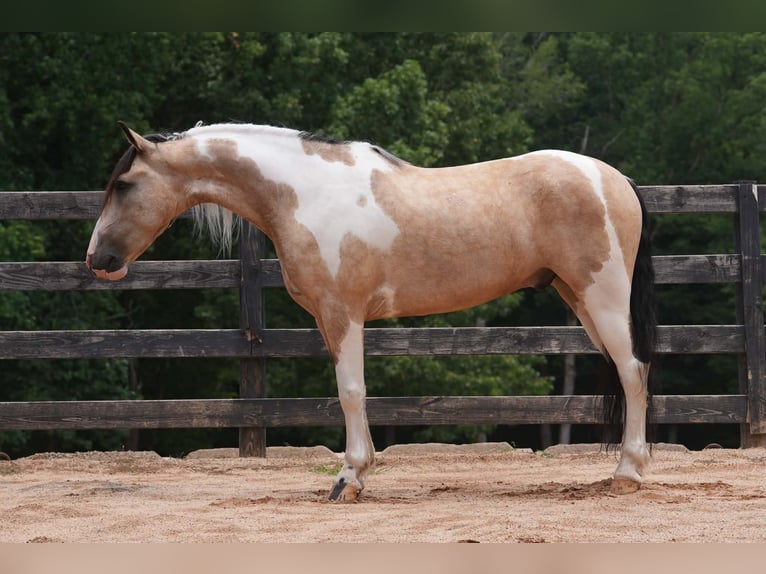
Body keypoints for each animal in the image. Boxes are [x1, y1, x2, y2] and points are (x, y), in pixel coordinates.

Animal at [86, 121, 657, 501]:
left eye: (124, 185)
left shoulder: (343, 314)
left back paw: (628, 473)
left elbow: (351, 392)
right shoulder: (328, 318)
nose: (98, 260)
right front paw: (359, 473)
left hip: (603, 298)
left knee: (633, 371)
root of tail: (616, 180)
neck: (304, 193)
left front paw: (349, 479)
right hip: (579, 300)